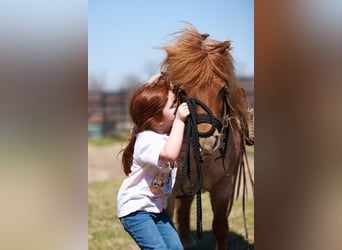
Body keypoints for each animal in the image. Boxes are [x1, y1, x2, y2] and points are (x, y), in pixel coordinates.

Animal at [159, 23, 252, 250]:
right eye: (183, 91)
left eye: (222, 90)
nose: (207, 141)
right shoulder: (170, 191)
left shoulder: (224, 186)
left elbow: (220, 226)